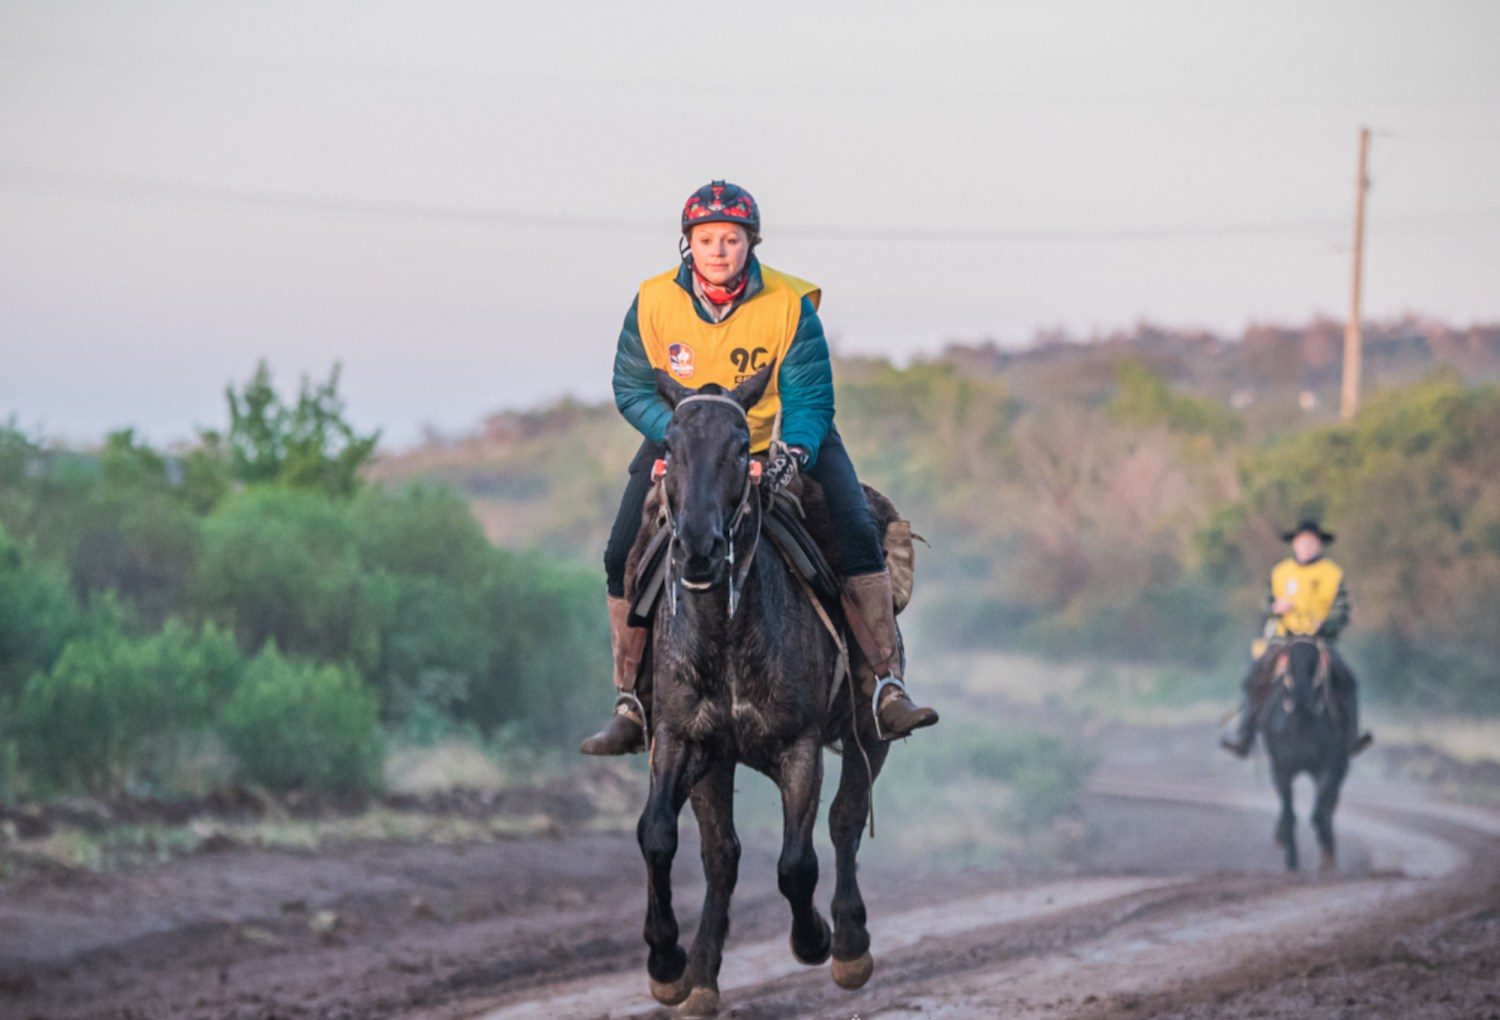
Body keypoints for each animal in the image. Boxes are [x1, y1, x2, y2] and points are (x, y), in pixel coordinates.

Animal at [636, 369, 888, 1020]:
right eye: (669, 444)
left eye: (735, 449)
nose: (698, 546)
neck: (725, 634)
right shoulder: (682, 739)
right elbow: (658, 836)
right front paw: (668, 962)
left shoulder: (799, 746)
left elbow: (797, 862)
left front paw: (815, 939)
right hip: (716, 763)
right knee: (721, 856)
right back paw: (702, 974)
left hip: (870, 733)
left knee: (846, 819)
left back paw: (849, 942)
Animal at [1260, 636, 1356, 870]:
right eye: (1288, 661)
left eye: (1314, 663)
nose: (1301, 698)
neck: (1301, 724)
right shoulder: (1282, 770)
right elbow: (1289, 813)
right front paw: (1292, 861)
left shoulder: (1328, 767)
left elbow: (1319, 812)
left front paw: (1327, 855)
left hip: (1341, 766)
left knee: (1329, 804)